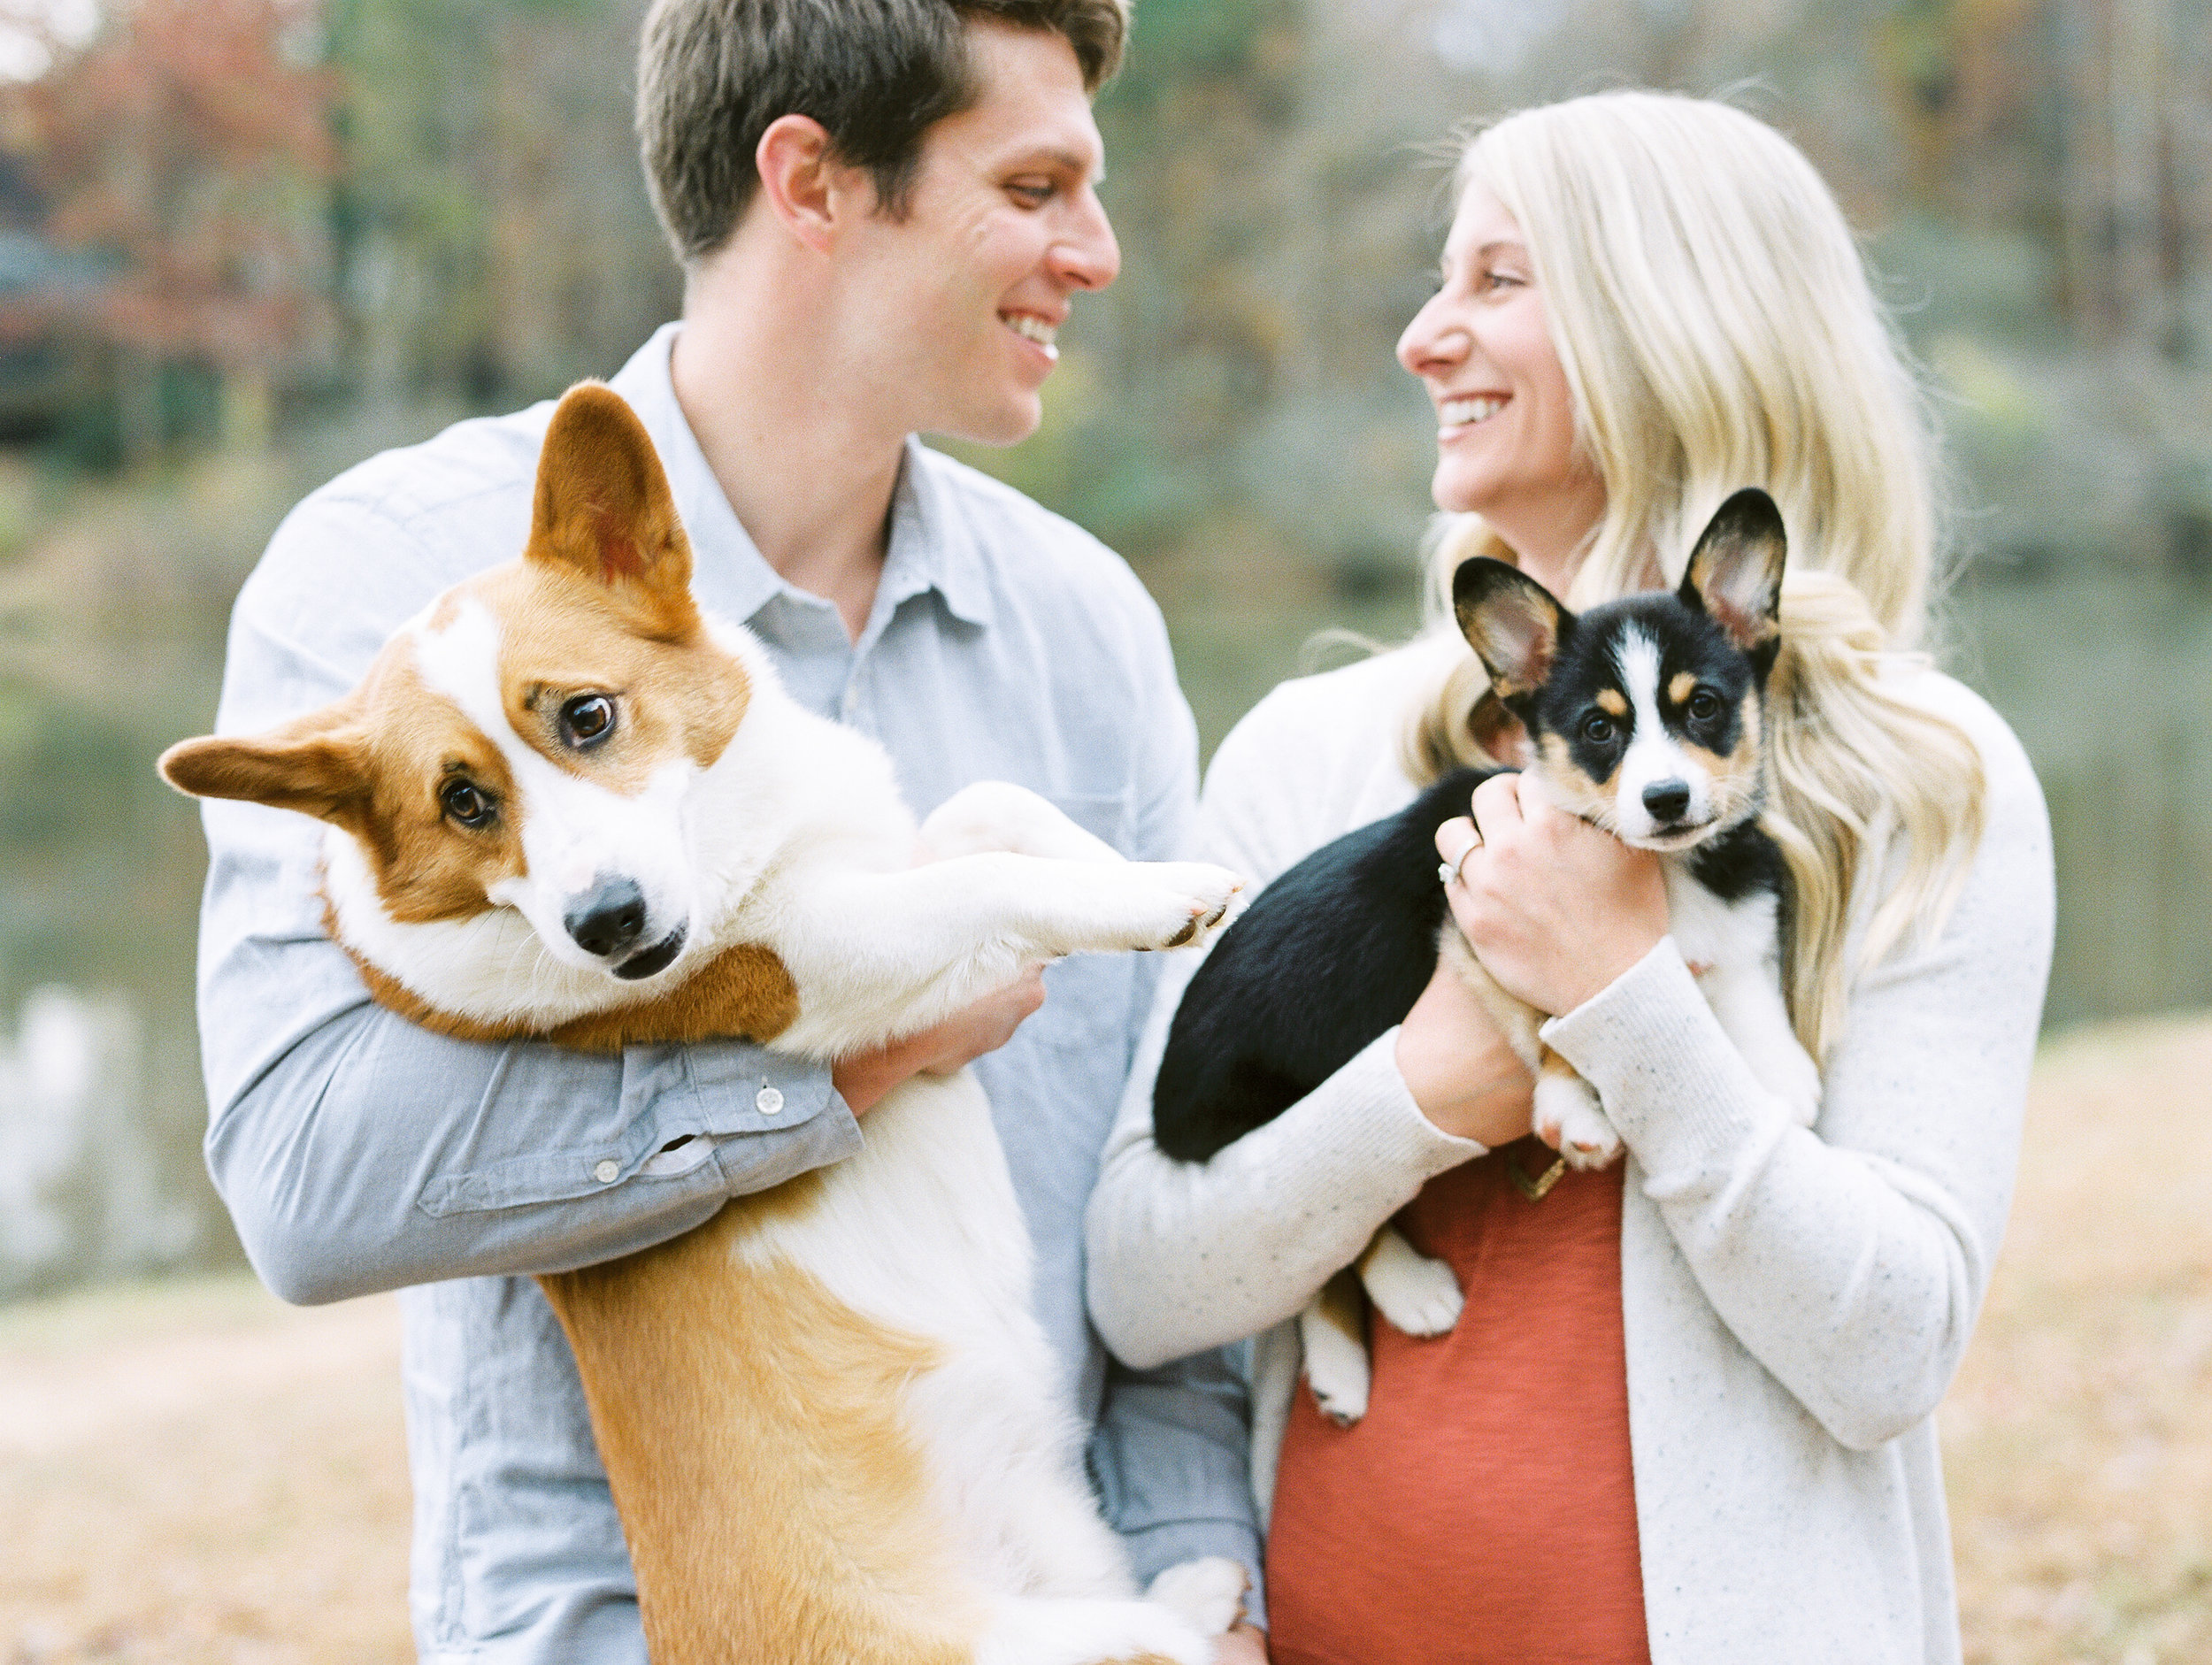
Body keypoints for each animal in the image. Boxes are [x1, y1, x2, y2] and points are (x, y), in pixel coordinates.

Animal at [1150, 486, 1823, 1423]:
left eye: (1705, 707)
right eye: (1598, 729)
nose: (1667, 799)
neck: (1656, 866)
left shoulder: (1726, 901)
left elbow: (1737, 963)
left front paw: (1782, 1069)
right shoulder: (1467, 924)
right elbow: (1547, 1020)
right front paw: (1576, 1110)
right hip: (1265, 1106)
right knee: (1336, 1232)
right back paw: (1403, 1301)